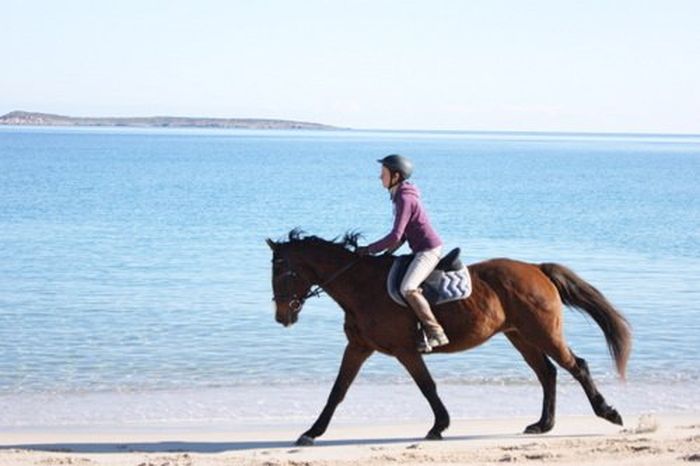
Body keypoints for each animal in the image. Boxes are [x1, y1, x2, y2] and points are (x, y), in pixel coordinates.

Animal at [266, 231, 632, 446]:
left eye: (282, 271)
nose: (282, 317)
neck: (362, 287)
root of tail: (536, 268)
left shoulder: (405, 350)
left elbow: (427, 386)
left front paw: (439, 426)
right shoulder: (359, 347)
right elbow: (338, 390)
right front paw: (311, 432)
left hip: (542, 332)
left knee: (576, 366)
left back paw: (609, 413)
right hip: (521, 336)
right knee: (548, 373)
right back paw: (543, 425)